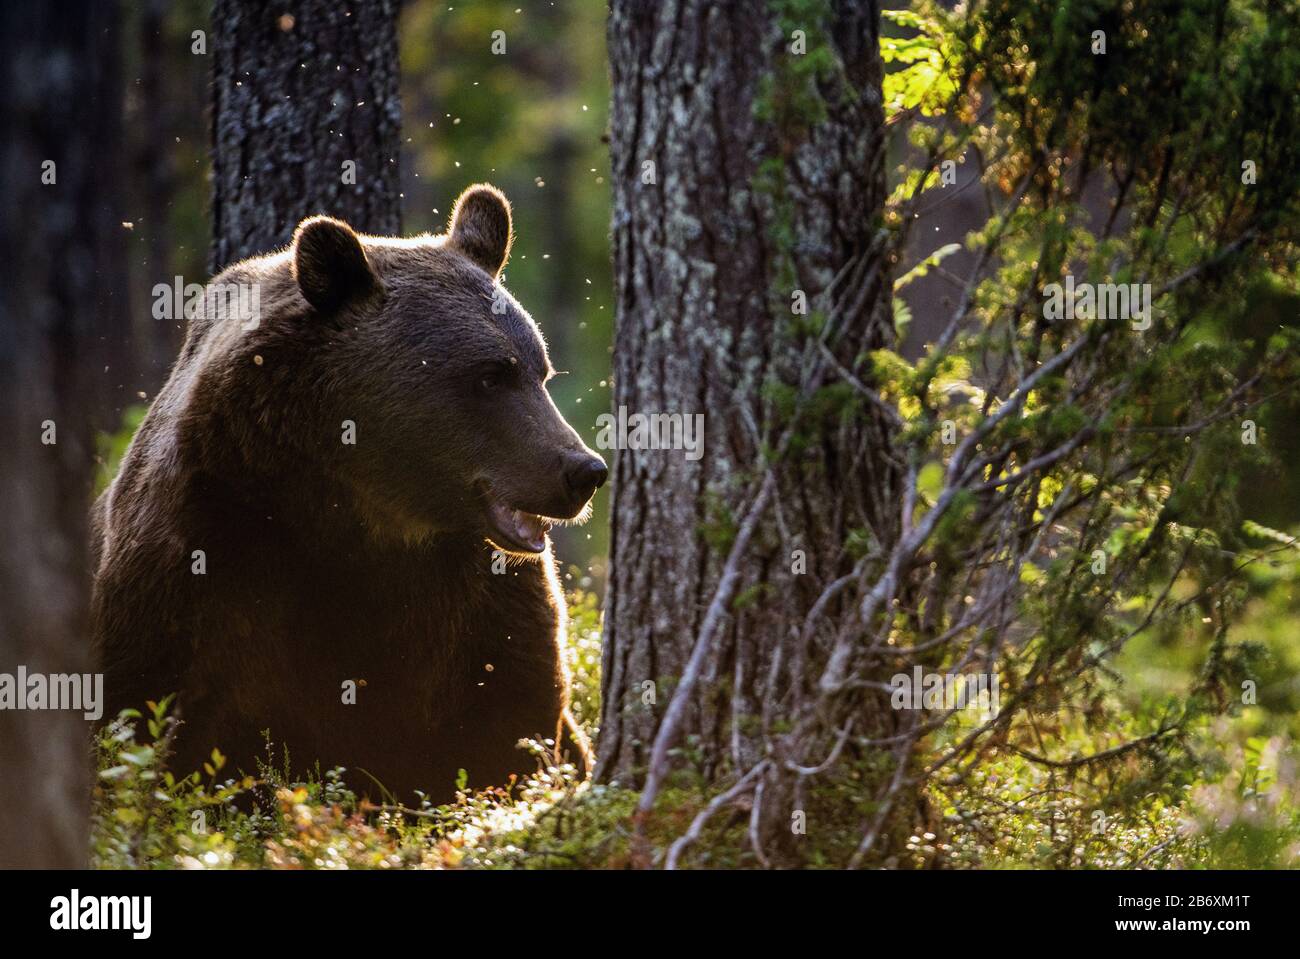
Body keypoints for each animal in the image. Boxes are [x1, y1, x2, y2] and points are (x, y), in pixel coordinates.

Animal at [90, 184, 607, 804]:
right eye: (490, 376)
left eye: (540, 371)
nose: (583, 470)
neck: (354, 511)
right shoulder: (210, 538)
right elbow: (151, 699)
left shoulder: (474, 592)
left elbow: (509, 711)